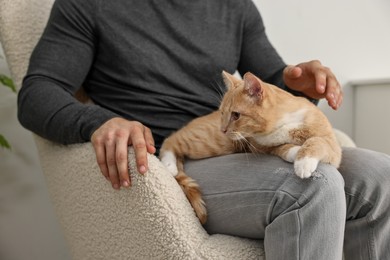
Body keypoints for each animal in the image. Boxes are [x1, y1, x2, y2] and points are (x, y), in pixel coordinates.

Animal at [158, 70, 342, 223]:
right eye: (222, 113)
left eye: (236, 115)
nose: (222, 129)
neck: (283, 123)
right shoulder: (261, 146)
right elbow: (284, 147)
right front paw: (299, 157)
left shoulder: (333, 146)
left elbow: (315, 141)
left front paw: (302, 159)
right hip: (212, 142)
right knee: (171, 139)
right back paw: (169, 165)